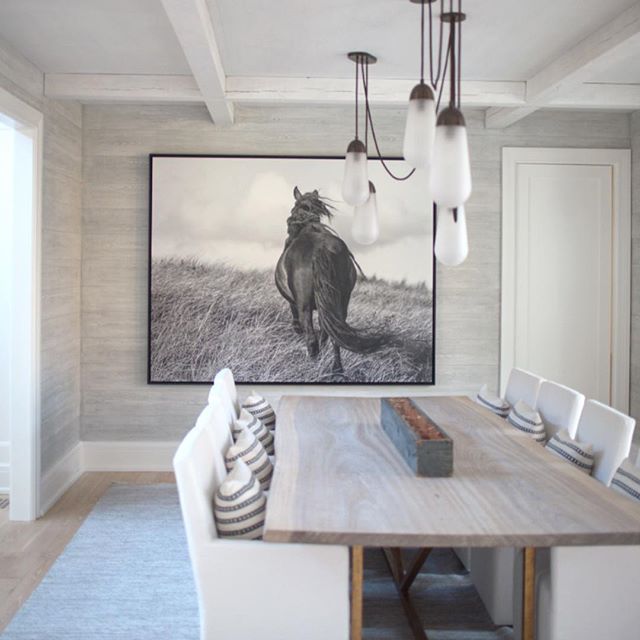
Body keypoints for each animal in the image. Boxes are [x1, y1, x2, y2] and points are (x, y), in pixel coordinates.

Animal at [274, 185, 384, 378]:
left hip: (305, 305)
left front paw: (296, 329)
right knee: (333, 336)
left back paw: (312, 366)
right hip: (339, 303)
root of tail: (320, 248)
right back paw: (336, 370)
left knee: (311, 337)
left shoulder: (295, 303)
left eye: (292, 210)